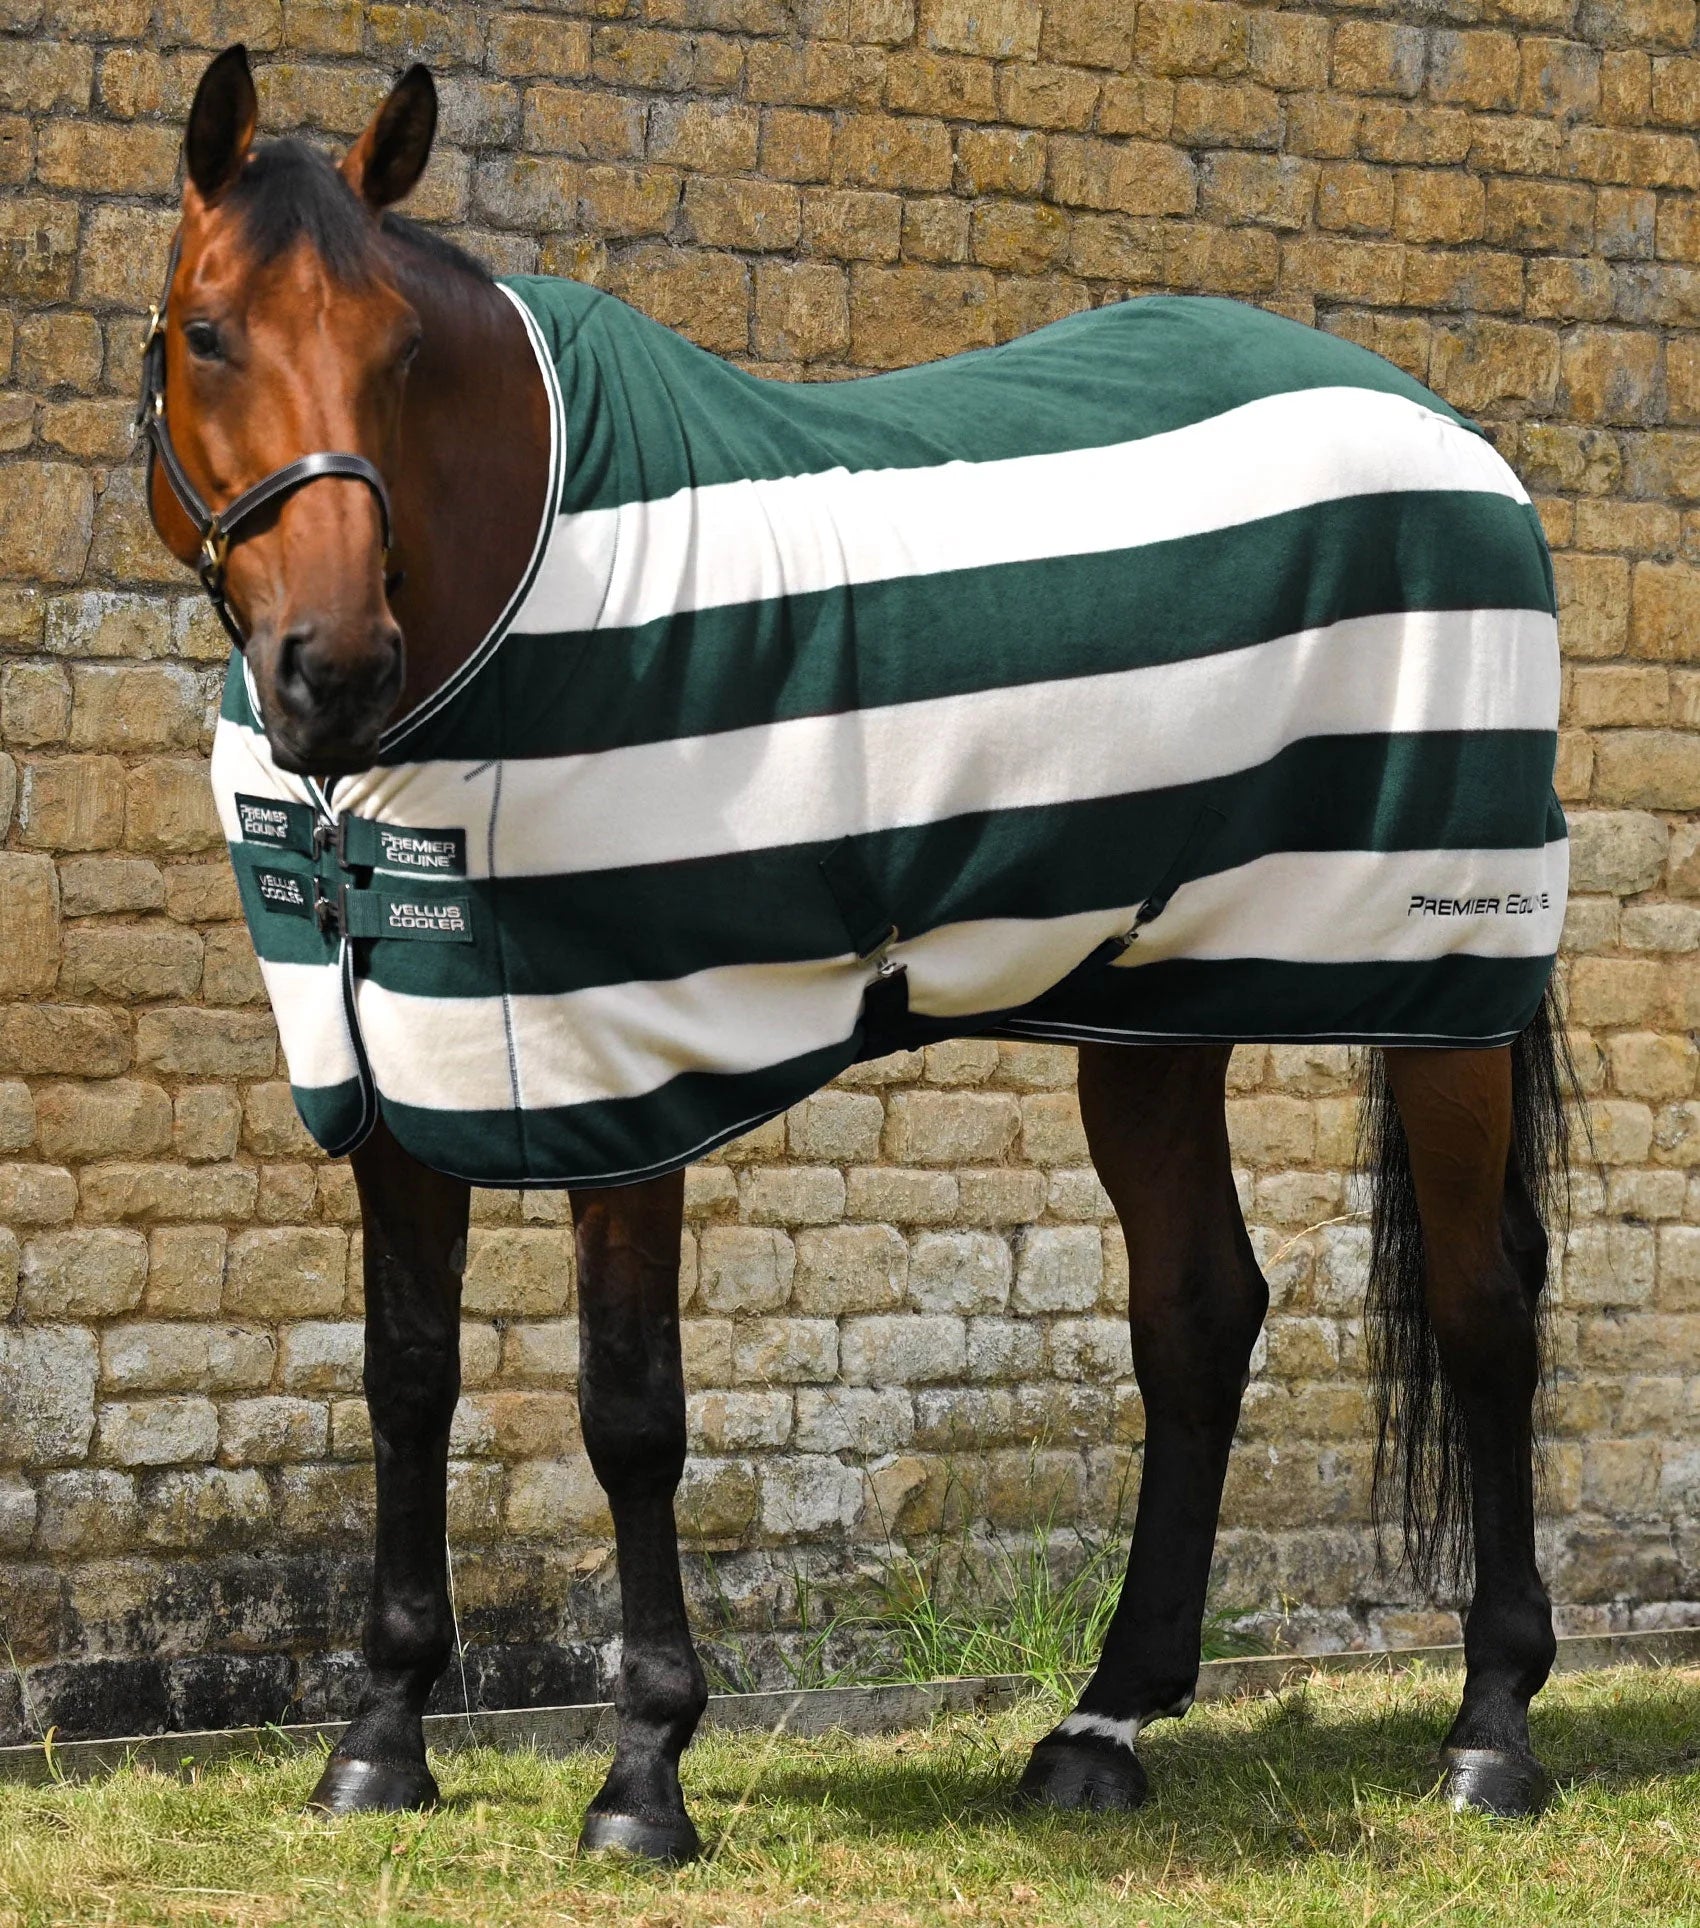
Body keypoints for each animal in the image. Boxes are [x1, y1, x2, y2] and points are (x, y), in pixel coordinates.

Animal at [137, 44, 1577, 1859]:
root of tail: (1454, 433)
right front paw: (382, 1742)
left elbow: (629, 1412)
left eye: (400, 350)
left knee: (1481, 1304)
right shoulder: (394, 1067)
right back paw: (1104, 1721)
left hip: (1442, 987)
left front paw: (643, 1771)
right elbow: (406, 1379)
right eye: (207, 332)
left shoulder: (632, 1072)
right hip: (1155, 1003)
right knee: (1197, 1310)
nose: (333, 668)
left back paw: (1491, 1728)